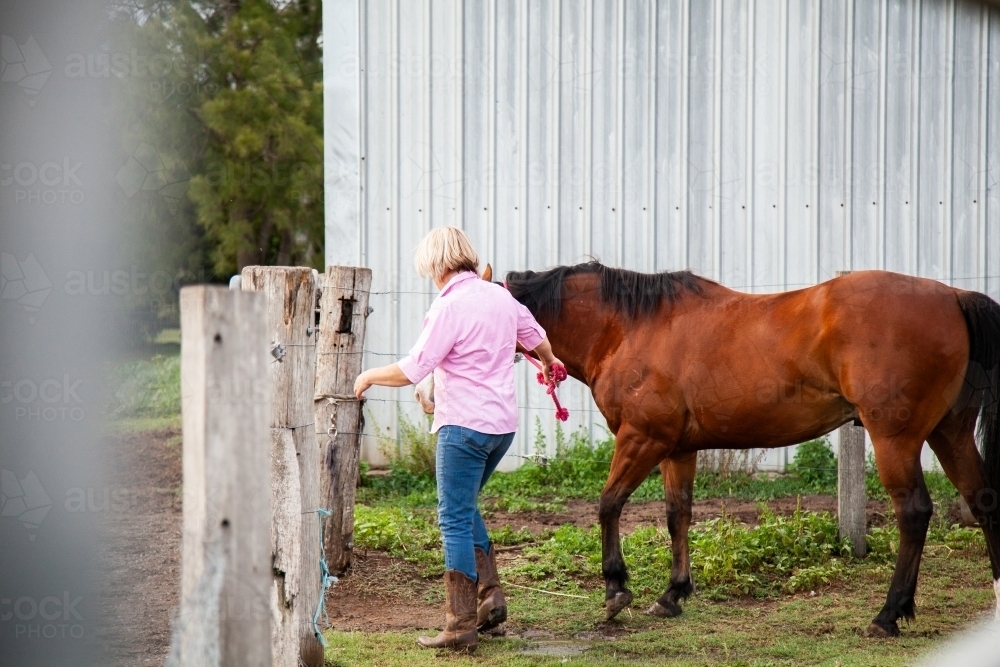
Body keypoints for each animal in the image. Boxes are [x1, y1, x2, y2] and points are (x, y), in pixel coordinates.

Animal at [508, 260, 1000, 636]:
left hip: (896, 440)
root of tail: (953, 296)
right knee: (982, 501)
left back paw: (887, 614)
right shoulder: (677, 450)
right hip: (949, 434)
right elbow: (677, 515)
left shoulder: (642, 438)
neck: (629, 328)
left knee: (914, 514)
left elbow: (609, 504)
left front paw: (616, 590)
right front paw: (673, 594)